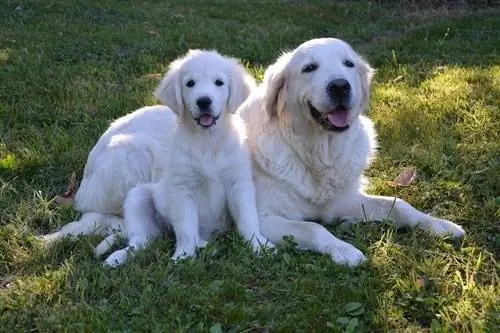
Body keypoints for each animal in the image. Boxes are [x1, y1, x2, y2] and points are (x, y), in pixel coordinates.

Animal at [238, 38, 464, 268]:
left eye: (349, 64)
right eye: (309, 68)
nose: (340, 86)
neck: (317, 154)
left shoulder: (344, 201)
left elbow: (400, 205)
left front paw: (438, 224)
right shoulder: (264, 217)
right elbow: (313, 227)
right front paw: (345, 250)